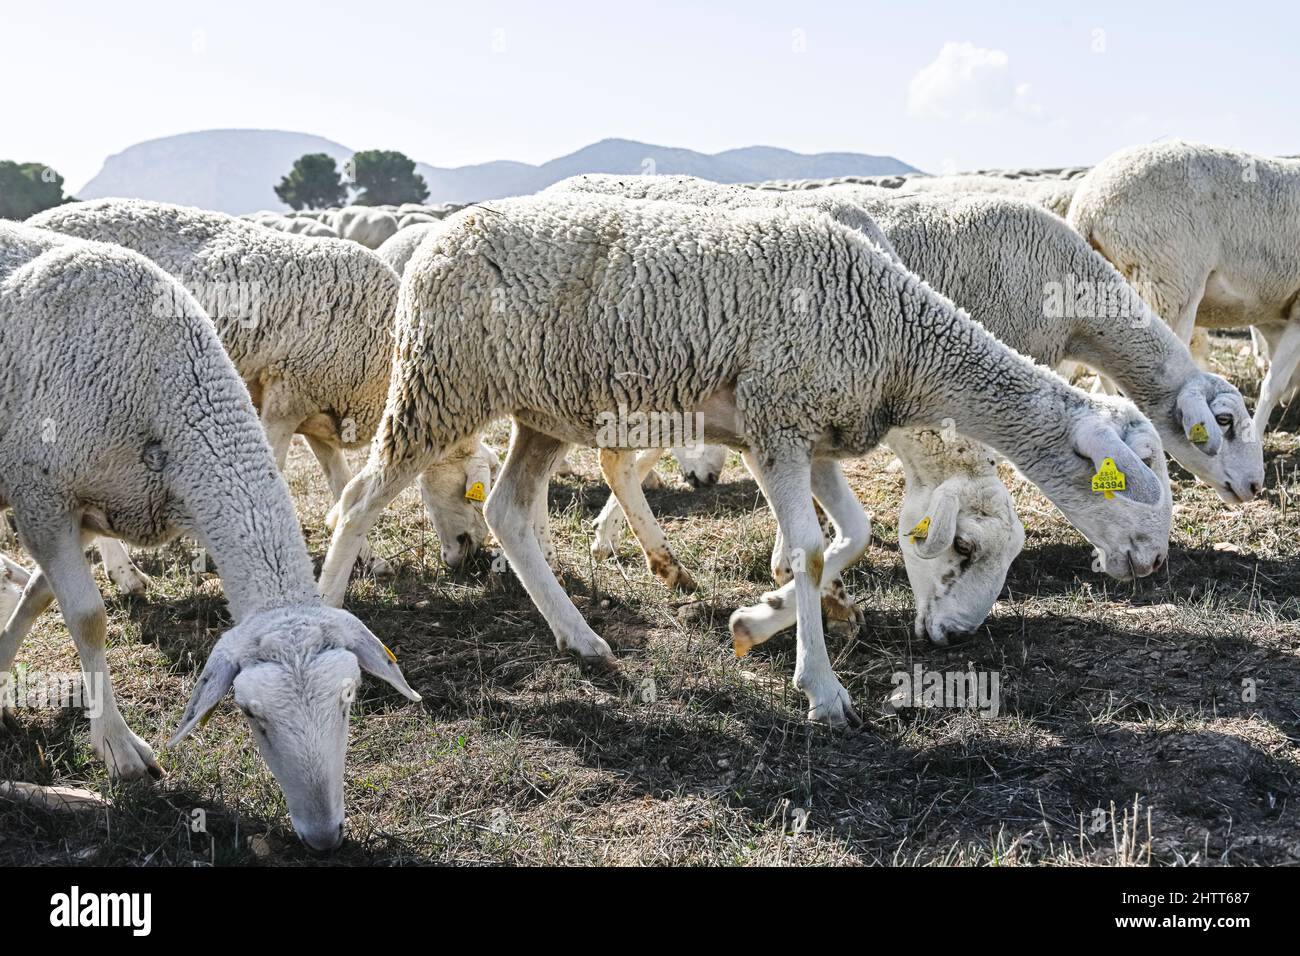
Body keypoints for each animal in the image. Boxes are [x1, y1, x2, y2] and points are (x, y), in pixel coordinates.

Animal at [0, 223, 418, 853]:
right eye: (251, 716)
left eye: (349, 702)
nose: (324, 838)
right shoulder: (41, 499)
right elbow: (88, 618)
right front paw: (119, 747)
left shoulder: (74, 510)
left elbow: (42, 595)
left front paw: (0, 661)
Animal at [319, 197, 1175, 728]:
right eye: (1121, 483)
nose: (1151, 560)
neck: (901, 340)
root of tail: (439, 234)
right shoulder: (779, 421)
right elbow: (808, 547)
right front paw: (821, 690)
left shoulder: (809, 432)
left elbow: (849, 536)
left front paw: (761, 618)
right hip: (441, 385)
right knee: (357, 500)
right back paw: (328, 621)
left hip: (541, 411)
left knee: (507, 511)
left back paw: (580, 639)